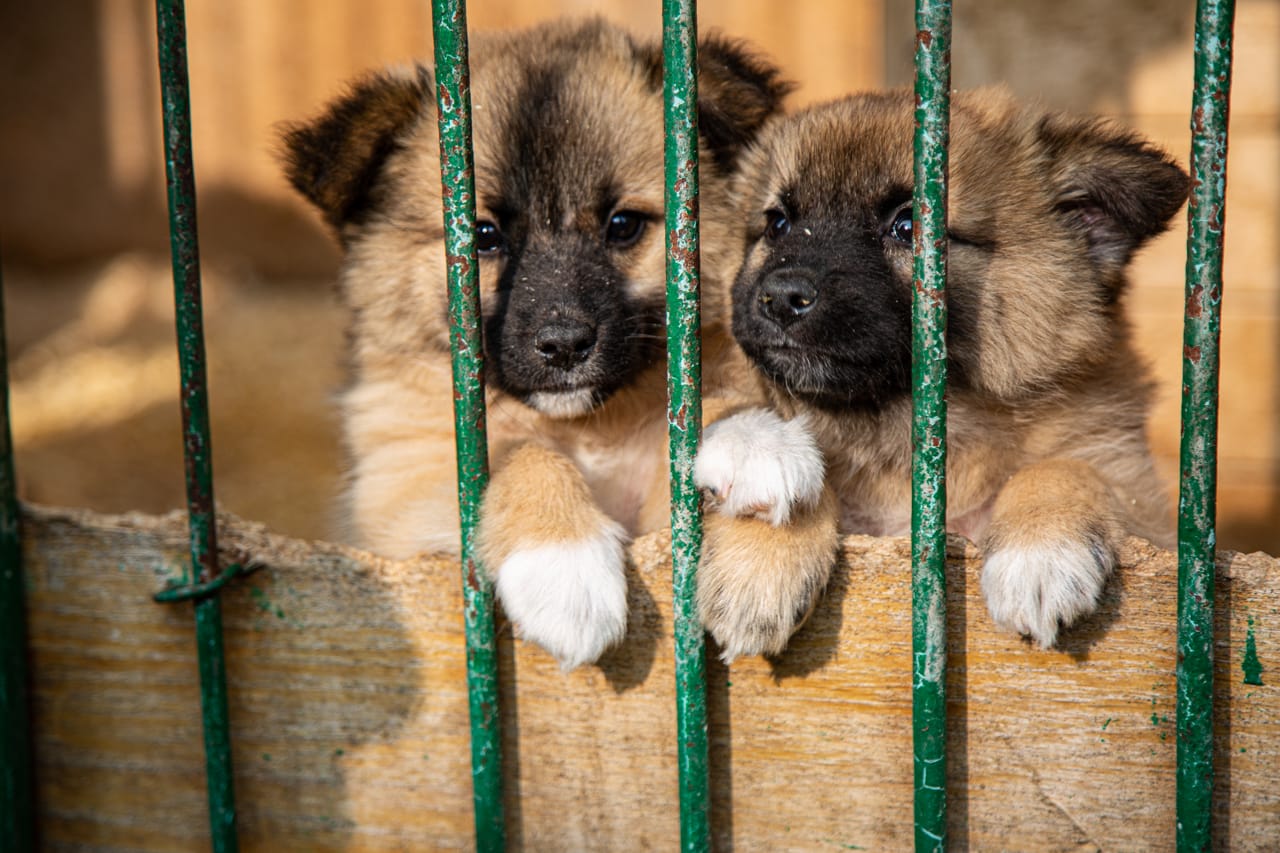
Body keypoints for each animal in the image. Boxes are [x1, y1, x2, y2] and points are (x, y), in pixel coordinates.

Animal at [282, 18, 788, 666]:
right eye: (481, 236)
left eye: (623, 225)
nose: (565, 344)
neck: (588, 431)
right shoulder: (399, 485)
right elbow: (517, 454)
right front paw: (565, 570)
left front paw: (756, 453)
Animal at [701, 89, 1187, 653]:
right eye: (776, 224)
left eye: (908, 226)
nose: (780, 298)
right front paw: (758, 556)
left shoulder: (1136, 493)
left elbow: (1065, 467)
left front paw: (1040, 551)